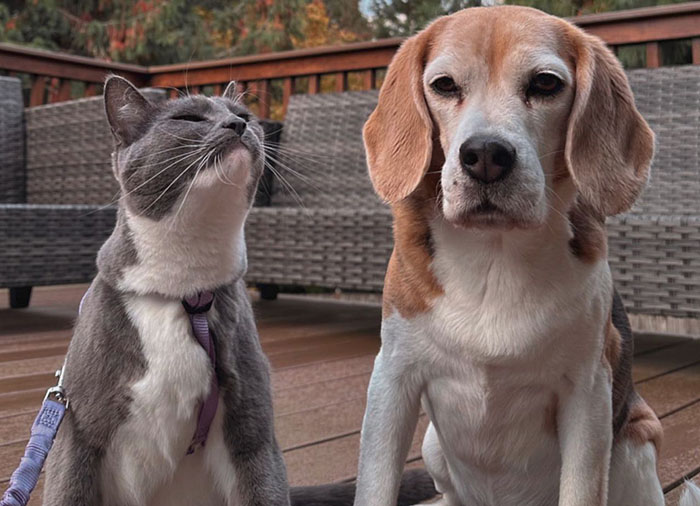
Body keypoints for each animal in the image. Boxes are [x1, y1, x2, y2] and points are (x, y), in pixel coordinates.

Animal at [42, 76, 438, 506]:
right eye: (188, 117)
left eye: (244, 114)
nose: (236, 124)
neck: (186, 289)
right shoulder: (77, 434)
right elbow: (66, 490)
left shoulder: (252, 430)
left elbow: (262, 485)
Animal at [352, 6, 700, 506]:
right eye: (444, 84)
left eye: (545, 83)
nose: (484, 154)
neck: (496, 255)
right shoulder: (392, 379)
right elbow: (375, 484)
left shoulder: (588, 394)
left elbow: (579, 488)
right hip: (433, 445)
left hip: (635, 444)